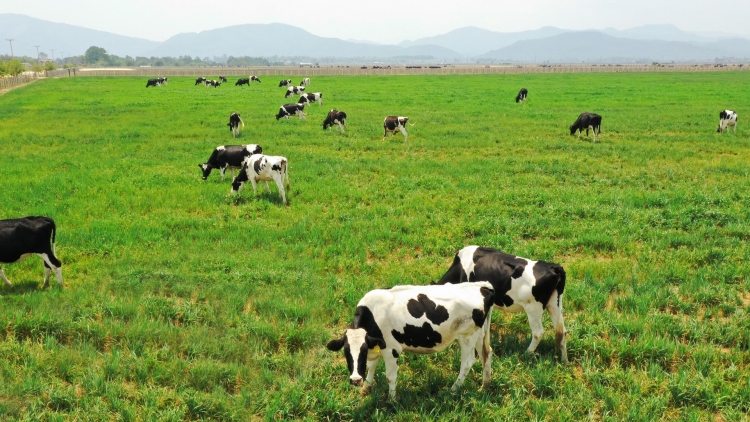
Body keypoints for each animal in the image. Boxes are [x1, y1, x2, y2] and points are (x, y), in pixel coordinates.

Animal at [328, 282, 494, 398]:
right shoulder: (375, 345)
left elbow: (390, 377)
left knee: (467, 363)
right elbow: (371, 367)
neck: (373, 315)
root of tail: (482, 287)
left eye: (362, 352)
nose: (355, 380)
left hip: (467, 336)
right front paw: (366, 388)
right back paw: (485, 386)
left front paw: (392, 400)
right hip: (479, 334)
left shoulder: (391, 350)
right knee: (486, 354)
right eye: (346, 352)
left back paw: (453, 389)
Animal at [434, 246, 568, 364]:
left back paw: (525, 354)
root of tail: (552, 267)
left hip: (533, 308)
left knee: (538, 333)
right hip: (555, 303)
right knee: (561, 331)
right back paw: (563, 360)